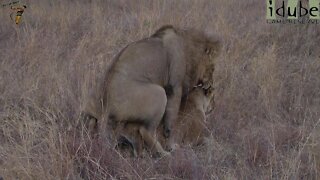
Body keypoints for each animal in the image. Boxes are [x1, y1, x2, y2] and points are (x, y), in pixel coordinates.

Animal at [84, 24, 220, 157]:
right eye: (213, 67)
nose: (210, 84)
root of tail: (105, 110)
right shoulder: (175, 86)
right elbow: (171, 121)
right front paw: (171, 144)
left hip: (92, 96)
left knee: (92, 120)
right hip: (159, 93)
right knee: (146, 131)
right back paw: (164, 153)